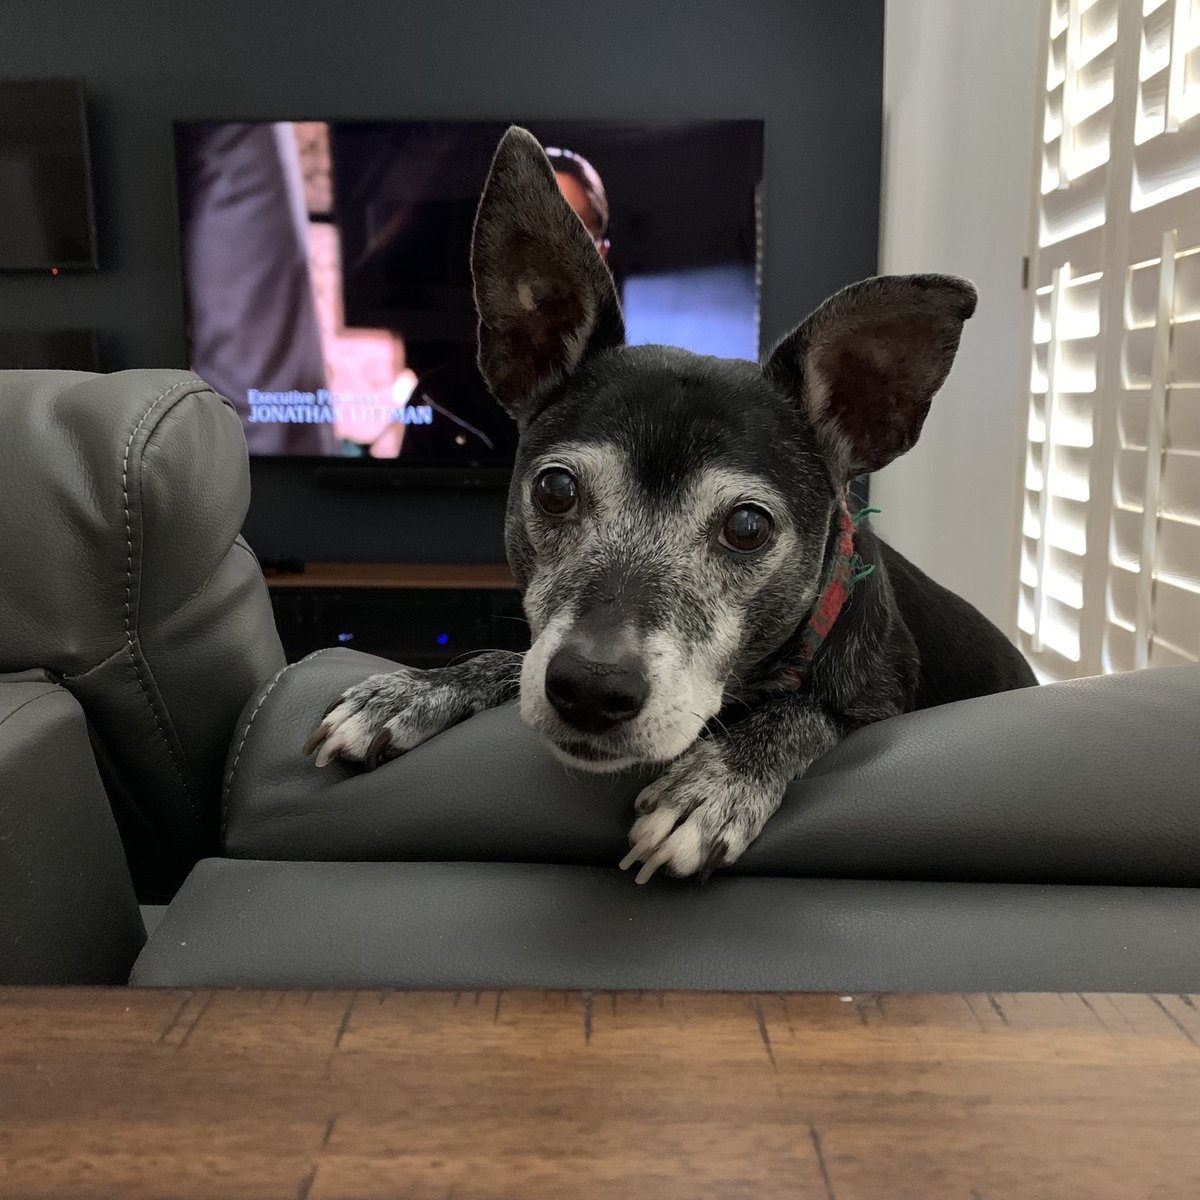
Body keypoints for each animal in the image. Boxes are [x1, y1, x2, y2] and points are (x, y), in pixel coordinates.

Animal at [304, 129, 1036, 883]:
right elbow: (511, 655)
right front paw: (418, 687)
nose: (591, 687)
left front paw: (716, 783)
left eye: (748, 526)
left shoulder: (877, 702)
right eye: (555, 489)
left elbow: (808, 712)